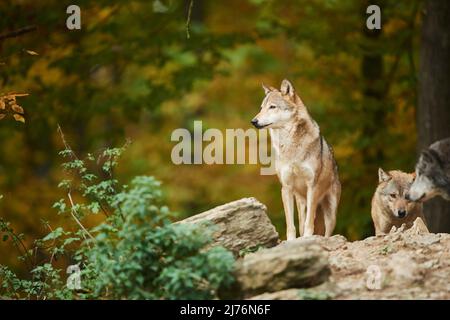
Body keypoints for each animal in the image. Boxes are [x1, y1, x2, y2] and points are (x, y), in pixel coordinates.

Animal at [250, 79, 342, 240]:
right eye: (261, 108)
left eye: (272, 107)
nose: (254, 121)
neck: (291, 146)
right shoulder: (286, 188)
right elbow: (290, 224)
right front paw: (292, 240)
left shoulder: (313, 185)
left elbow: (309, 222)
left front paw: (307, 238)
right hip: (301, 203)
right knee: (301, 223)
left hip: (331, 214)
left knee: (326, 233)